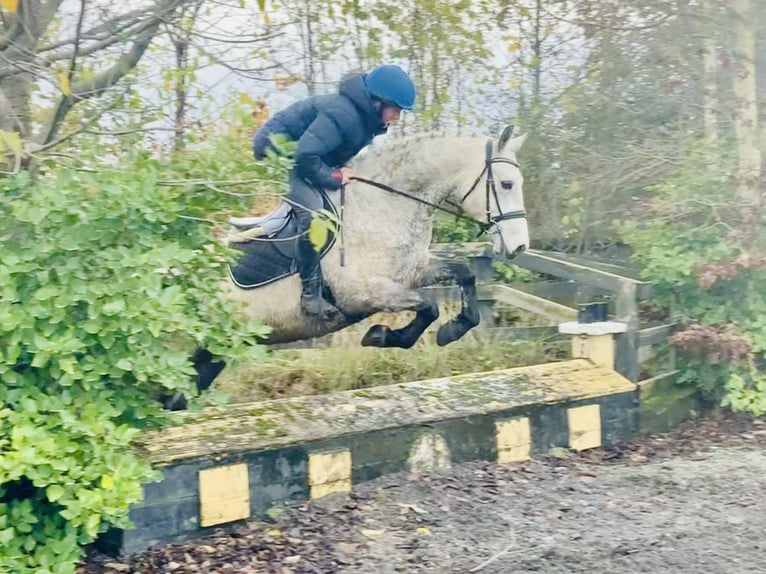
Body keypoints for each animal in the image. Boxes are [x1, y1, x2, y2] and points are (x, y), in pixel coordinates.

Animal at [194, 124, 528, 394]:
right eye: (507, 184)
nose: (519, 246)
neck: (383, 205)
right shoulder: (365, 294)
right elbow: (429, 306)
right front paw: (380, 336)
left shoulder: (413, 272)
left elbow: (464, 275)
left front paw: (450, 331)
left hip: (213, 352)